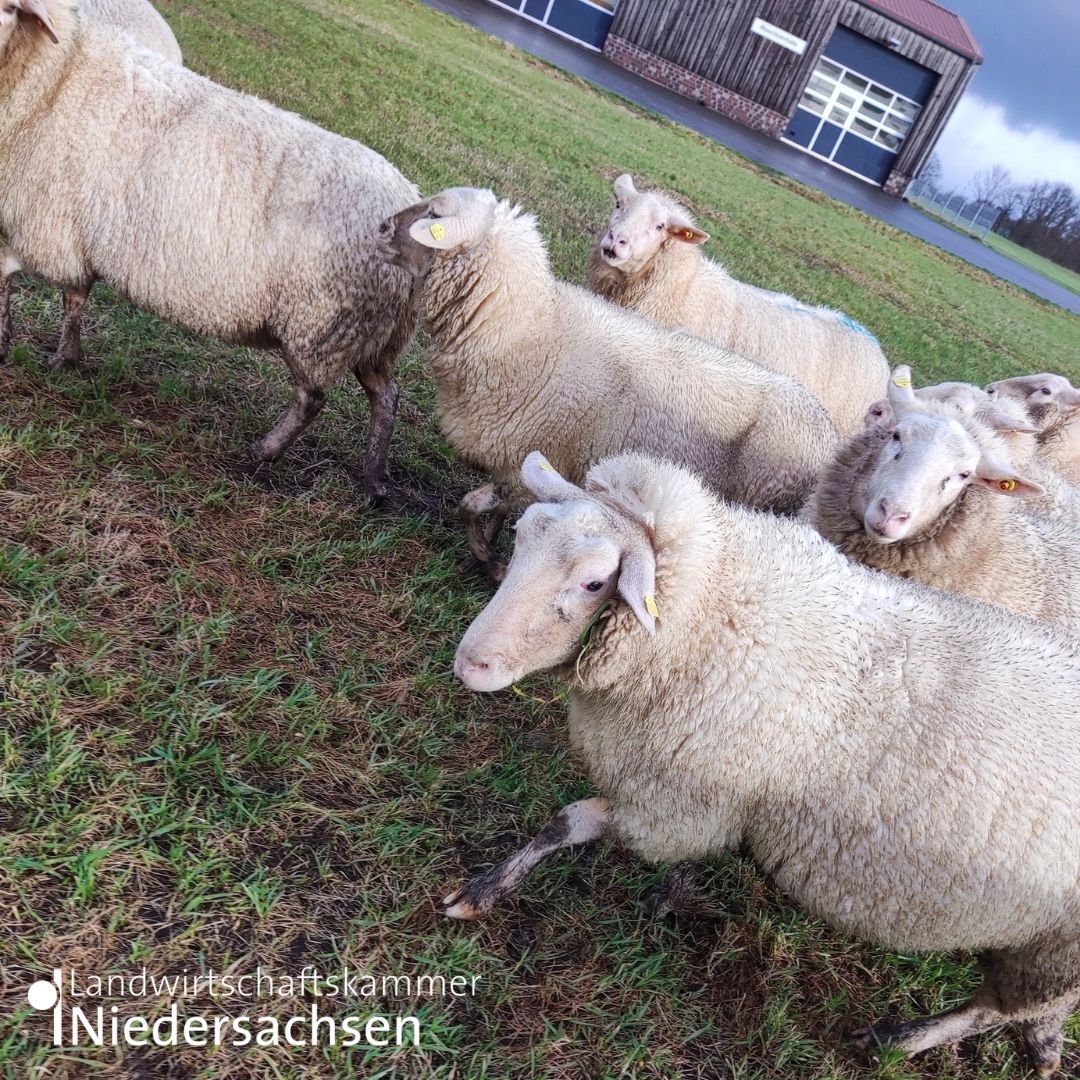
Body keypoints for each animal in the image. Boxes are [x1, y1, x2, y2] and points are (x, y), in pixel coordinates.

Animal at [0, 0, 419, 495]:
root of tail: (412, 202)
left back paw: (264, 453)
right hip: (372, 334)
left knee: (313, 398)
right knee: (386, 395)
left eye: (11, 10)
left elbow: (10, 274)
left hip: (323, 324)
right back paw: (373, 479)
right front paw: (64, 357)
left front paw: (13, 344)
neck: (57, 75)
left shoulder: (45, 224)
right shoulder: (75, 235)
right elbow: (74, 299)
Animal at [378, 185, 837, 572]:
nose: (381, 227)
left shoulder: (534, 455)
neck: (526, 330)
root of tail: (828, 435)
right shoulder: (519, 458)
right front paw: (494, 552)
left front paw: (491, 561)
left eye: (435, 215)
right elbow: (489, 510)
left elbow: (470, 506)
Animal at [448, 448, 1080, 1074]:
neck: (713, 610)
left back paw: (896, 1039)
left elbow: (577, 821)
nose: (470, 665)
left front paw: (487, 891)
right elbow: (567, 825)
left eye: (594, 581)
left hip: (1054, 953)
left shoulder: (678, 805)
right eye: (519, 535)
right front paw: (485, 890)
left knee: (993, 1010)